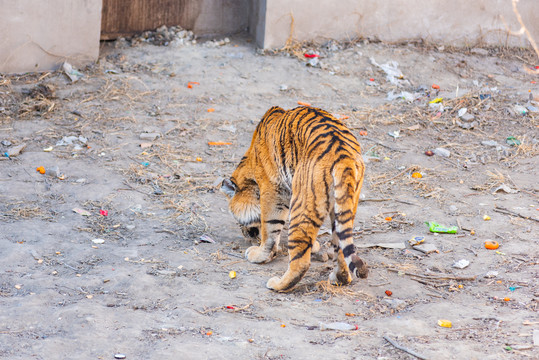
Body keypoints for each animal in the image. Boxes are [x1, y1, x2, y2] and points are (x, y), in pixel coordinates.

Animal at [221, 105, 370, 292]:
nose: (245, 234)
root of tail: (344, 156)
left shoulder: (273, 191)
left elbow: (269, 229)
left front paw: (259, 254)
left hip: (303, 204)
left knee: (300, 260)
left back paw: (278, 284)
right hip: (342, 207)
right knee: (342, 247)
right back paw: (339, 278)